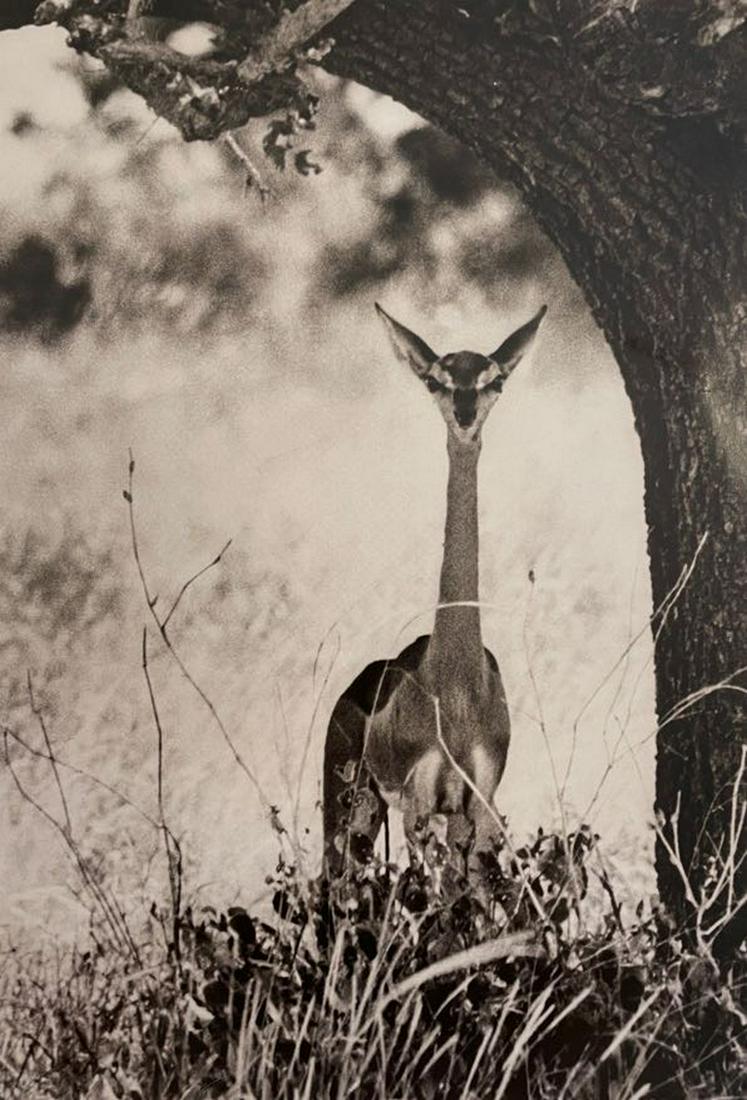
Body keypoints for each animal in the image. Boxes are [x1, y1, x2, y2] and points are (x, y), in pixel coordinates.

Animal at [323, 301, 547, 883]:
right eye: (435, 380)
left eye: (494, 379)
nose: (465, 418)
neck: (457, 688)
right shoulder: (420, 806)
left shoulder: (478, 803)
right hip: (352, 806)